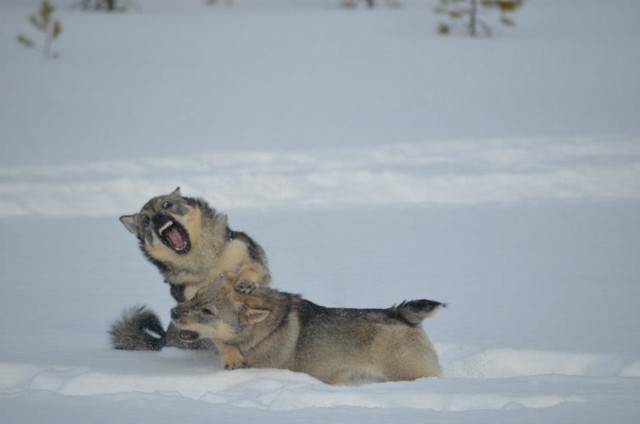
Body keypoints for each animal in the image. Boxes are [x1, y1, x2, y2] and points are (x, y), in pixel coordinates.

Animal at [110, 187, 270, 366]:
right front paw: (231, 356)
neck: (203, 261)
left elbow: (249, 270)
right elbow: (217, 333)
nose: (156, 218)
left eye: (167, 204)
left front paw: (245, 283)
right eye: (145, 220)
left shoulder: (248, 254)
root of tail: (163, 339)